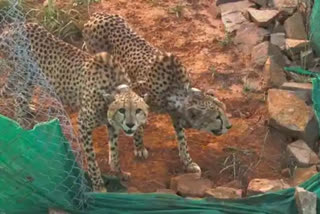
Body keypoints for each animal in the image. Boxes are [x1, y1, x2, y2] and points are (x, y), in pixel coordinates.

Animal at [0, 22, 149, 191]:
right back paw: (23, 126)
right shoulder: (83, 124)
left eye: (138, 111)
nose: (130, 125)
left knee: (21, 96)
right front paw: (98, 185)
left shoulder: (111, 125)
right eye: (122, 110)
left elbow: (114, 151)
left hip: (31, 78)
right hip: (24, 75)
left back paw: (27, 112)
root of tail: (11, 26)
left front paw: (119, 172)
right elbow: (91, 159)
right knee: (18, 98)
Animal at [82, 12, 232, 175]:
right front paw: (139, 146)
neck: (175, 90)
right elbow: (135, 121)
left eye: (224, 111)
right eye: (217, 117)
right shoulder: (136, 92)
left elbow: (182, 139)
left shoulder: (176, 113)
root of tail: (97, 15)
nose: (229, 126)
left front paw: (188, 162)